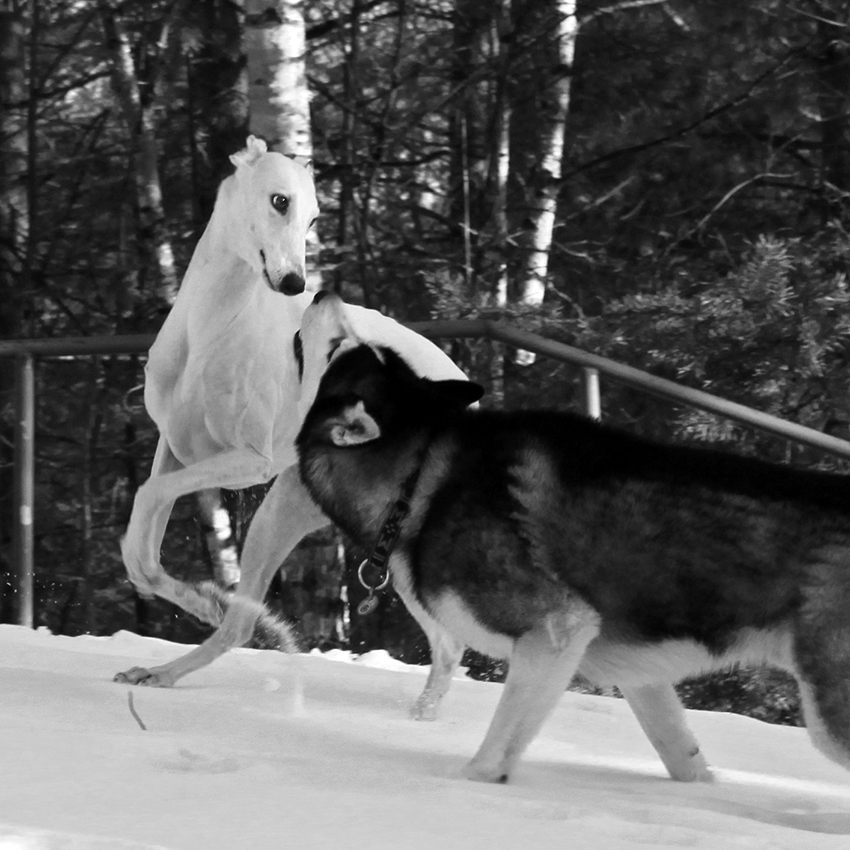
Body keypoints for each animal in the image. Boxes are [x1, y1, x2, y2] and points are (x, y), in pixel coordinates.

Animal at [294, 324, 848, 780]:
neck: (422, 471)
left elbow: (494, 753)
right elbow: (684, 755)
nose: (323, 294)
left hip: (830, 715)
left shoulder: (555, 629)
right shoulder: (638, 677)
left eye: (334, 347)